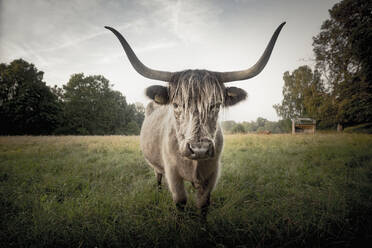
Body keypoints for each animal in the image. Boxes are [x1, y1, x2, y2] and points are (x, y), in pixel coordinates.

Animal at [104, 23, 284, 217]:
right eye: (176, 105)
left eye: (216, 104)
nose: (199, 149)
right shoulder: (172, 174)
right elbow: (180, 201)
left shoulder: (212, 174)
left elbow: (203, 204)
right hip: (156, 166)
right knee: (158, 177)